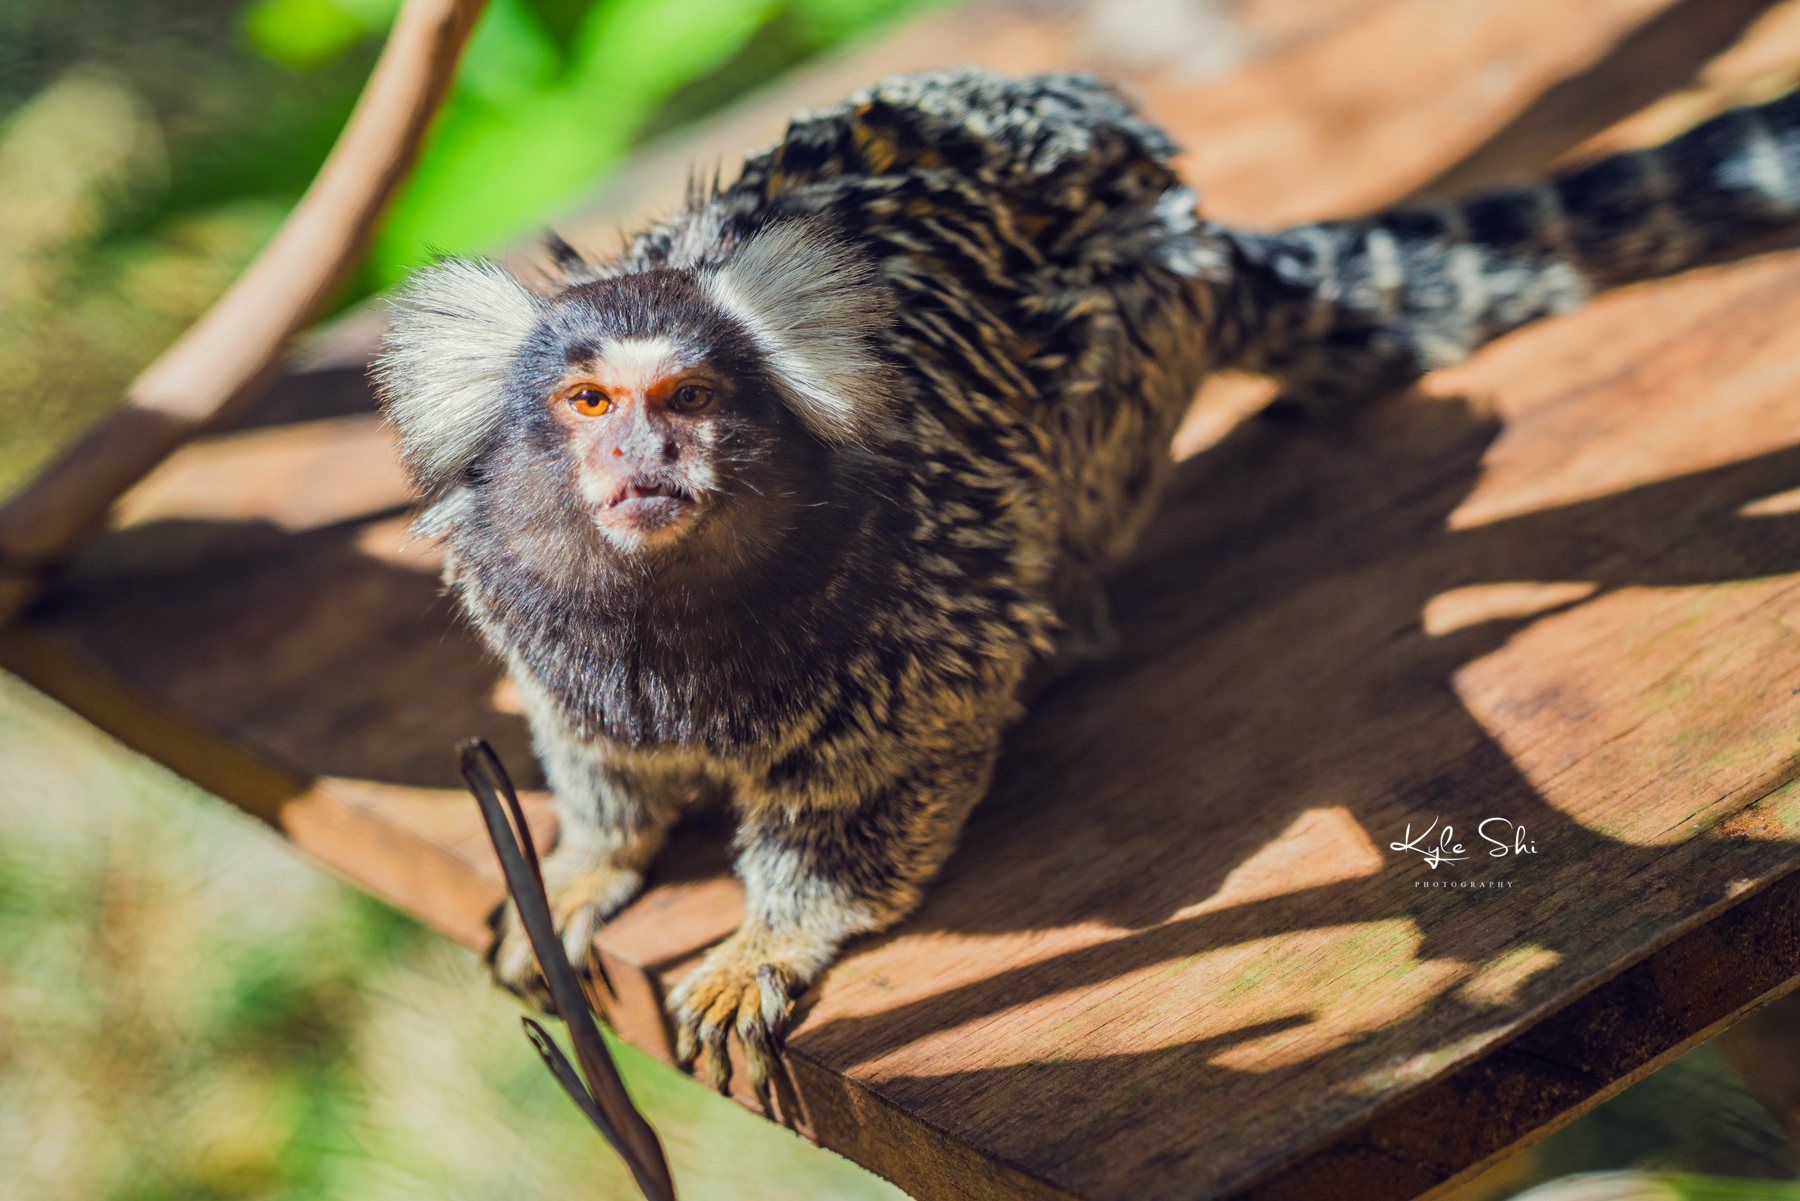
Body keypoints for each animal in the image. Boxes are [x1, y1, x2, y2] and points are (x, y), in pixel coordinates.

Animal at [372, 63, 1800, 1101]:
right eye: (589, 403)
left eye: (688, 398)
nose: (644, 459)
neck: (677, 618)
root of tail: (1183, 211)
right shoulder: (545, 637)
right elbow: (598, 762)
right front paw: (582, 863)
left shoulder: (920, 610)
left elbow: (877, 784)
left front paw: (769, 939)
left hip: (1138, 330)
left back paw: (1069, 632)